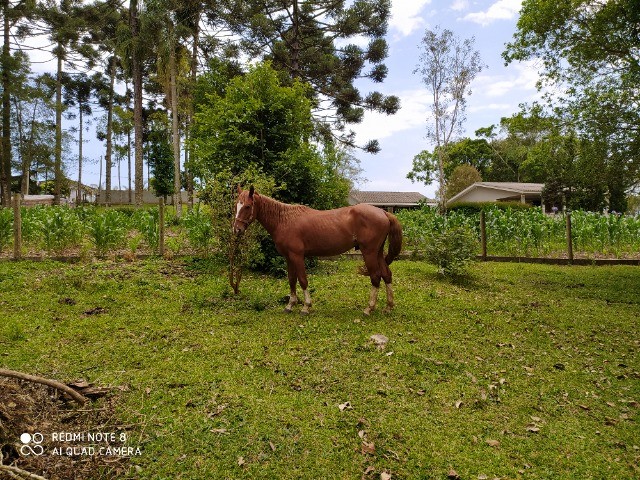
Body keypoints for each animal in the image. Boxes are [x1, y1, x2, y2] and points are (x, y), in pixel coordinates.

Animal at [232, 187, 402, 316]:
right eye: (236, 206)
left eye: (247, 206)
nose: (237, 229)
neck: (284, 220)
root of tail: (383, 212)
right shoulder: (288, 258)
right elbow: (291, 280)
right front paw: (290, 305)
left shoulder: (297, 256)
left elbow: (302, 280)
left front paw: (306, 307)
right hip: (378, 252)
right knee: (386, 274)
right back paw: (388, 306)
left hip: (369, 252)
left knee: (376, 276)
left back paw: (369, 308)